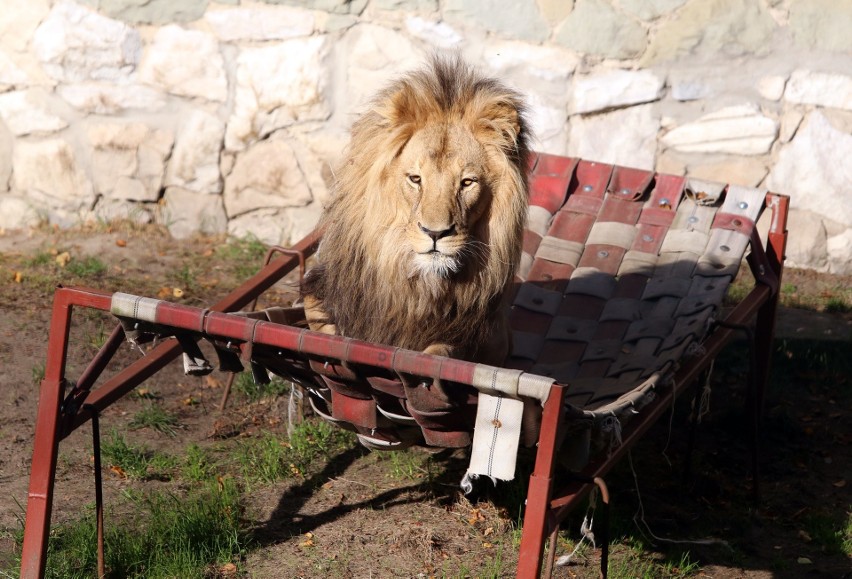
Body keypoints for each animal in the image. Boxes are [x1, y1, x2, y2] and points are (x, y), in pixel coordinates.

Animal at [302, 59, 528, 368]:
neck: (419, 285)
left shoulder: (489, 338)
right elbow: (319, 319)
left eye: (467, 182)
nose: (435, 233)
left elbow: (439, 353)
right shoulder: (321, 289)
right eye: (415, 179)